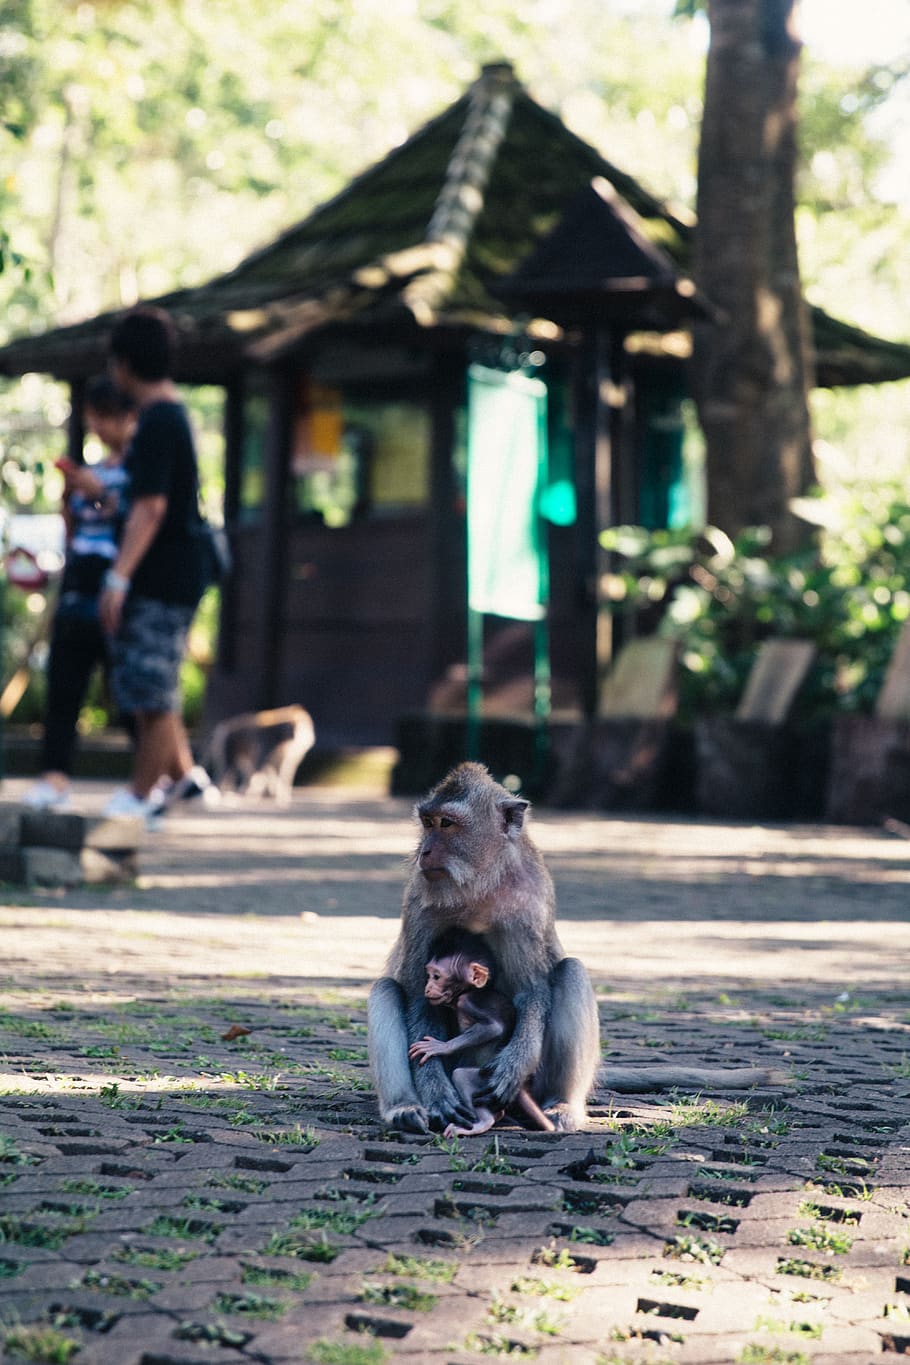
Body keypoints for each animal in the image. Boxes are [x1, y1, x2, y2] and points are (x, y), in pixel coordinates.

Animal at [408, 930, 556, 1138]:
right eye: (429, 975)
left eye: (436, 977)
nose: (427, 987)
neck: (468, 990)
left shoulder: (467, 1001)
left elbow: (493, 1027)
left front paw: (440, 1047)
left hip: (485, 1078)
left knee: (461, 1076)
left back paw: (483, 1122)